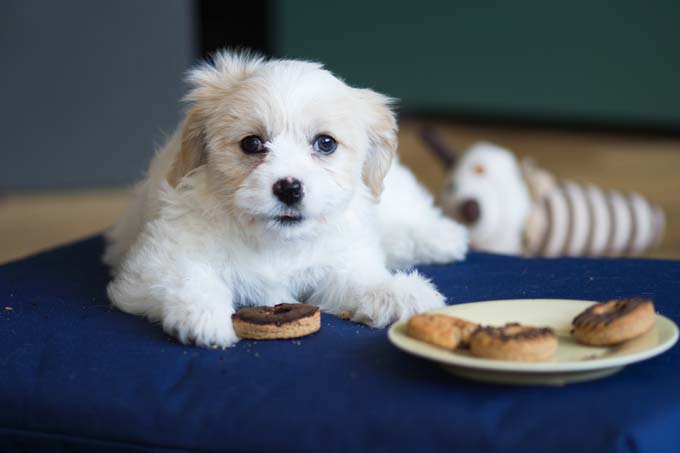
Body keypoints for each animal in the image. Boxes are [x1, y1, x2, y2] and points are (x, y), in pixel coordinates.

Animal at [105, 50, 468, 346]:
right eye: (252, 143)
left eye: (325, 143)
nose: (289, 188)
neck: (277, 243)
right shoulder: (154, 265)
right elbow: (186, 277)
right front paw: (203, 317)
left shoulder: (340, 258)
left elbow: (359, 280)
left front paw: (397, 292)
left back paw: (440, 236)